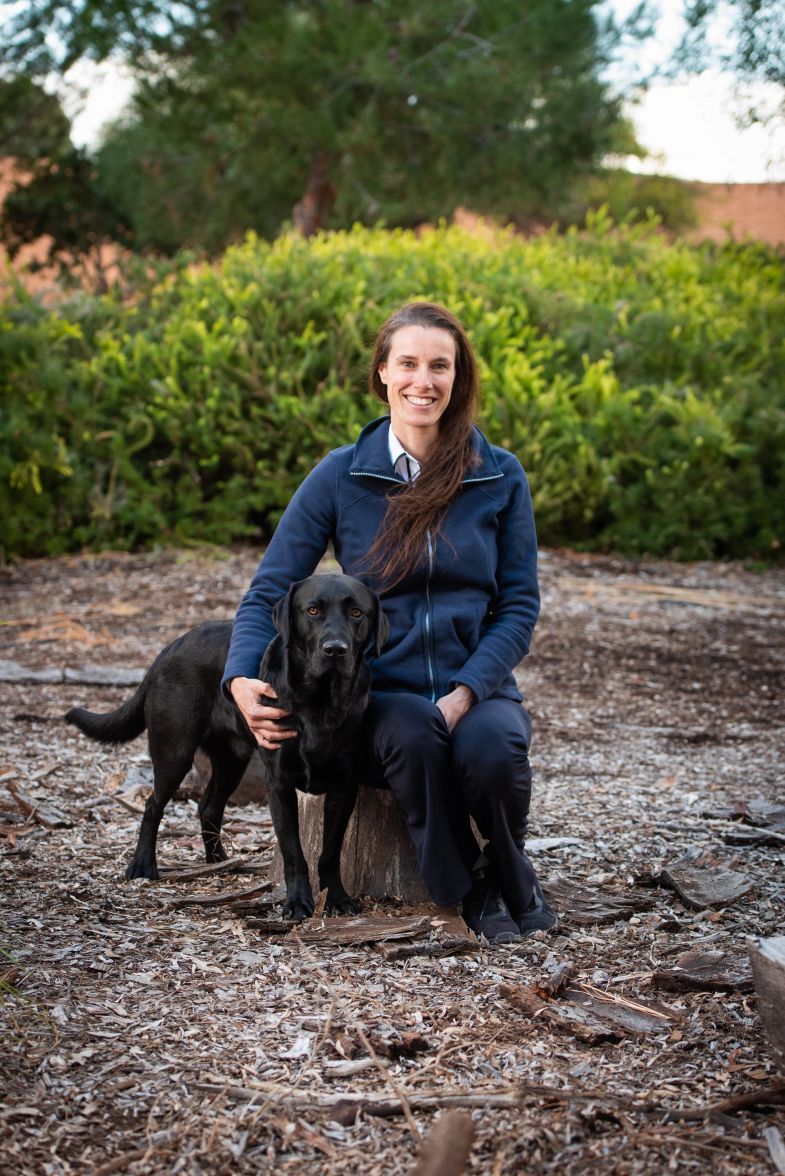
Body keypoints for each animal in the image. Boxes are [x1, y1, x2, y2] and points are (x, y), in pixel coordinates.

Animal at [63, 573, 385, 921]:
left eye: (356, 613)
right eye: (312, 610)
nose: (335, 650)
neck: (319, 701)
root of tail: (169, 648)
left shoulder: (344, 786)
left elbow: (329, 852)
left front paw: (337, 898)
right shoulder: (279, 784)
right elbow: (294, 853)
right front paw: (298, 902)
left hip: (232, 759)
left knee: (208, 807)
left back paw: (219, 860)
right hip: (174, 752)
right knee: (153, 805)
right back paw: (142, 866)